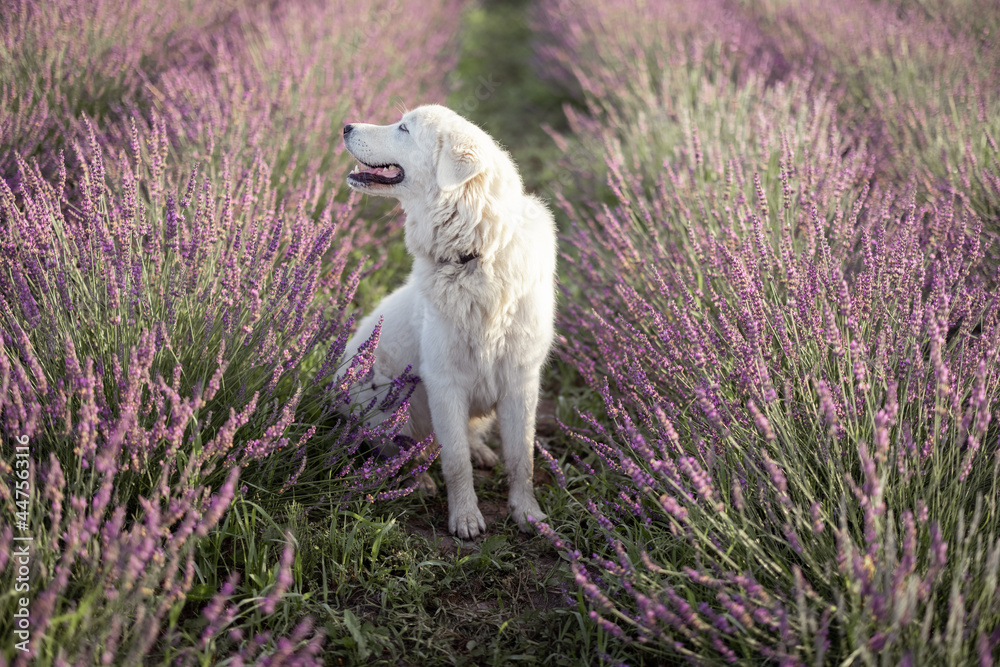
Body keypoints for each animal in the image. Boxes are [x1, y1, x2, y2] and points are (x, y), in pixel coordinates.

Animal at [338, 105, 556, 544]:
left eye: (404, 129)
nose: (346, 126)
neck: (474, 256)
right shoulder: (445, 382)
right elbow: (455, 462)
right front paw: (466, 518)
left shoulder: (521, 382)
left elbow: (521, 458)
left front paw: (527, 513)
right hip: (385, 401)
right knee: (404, 449)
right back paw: (417, 479)